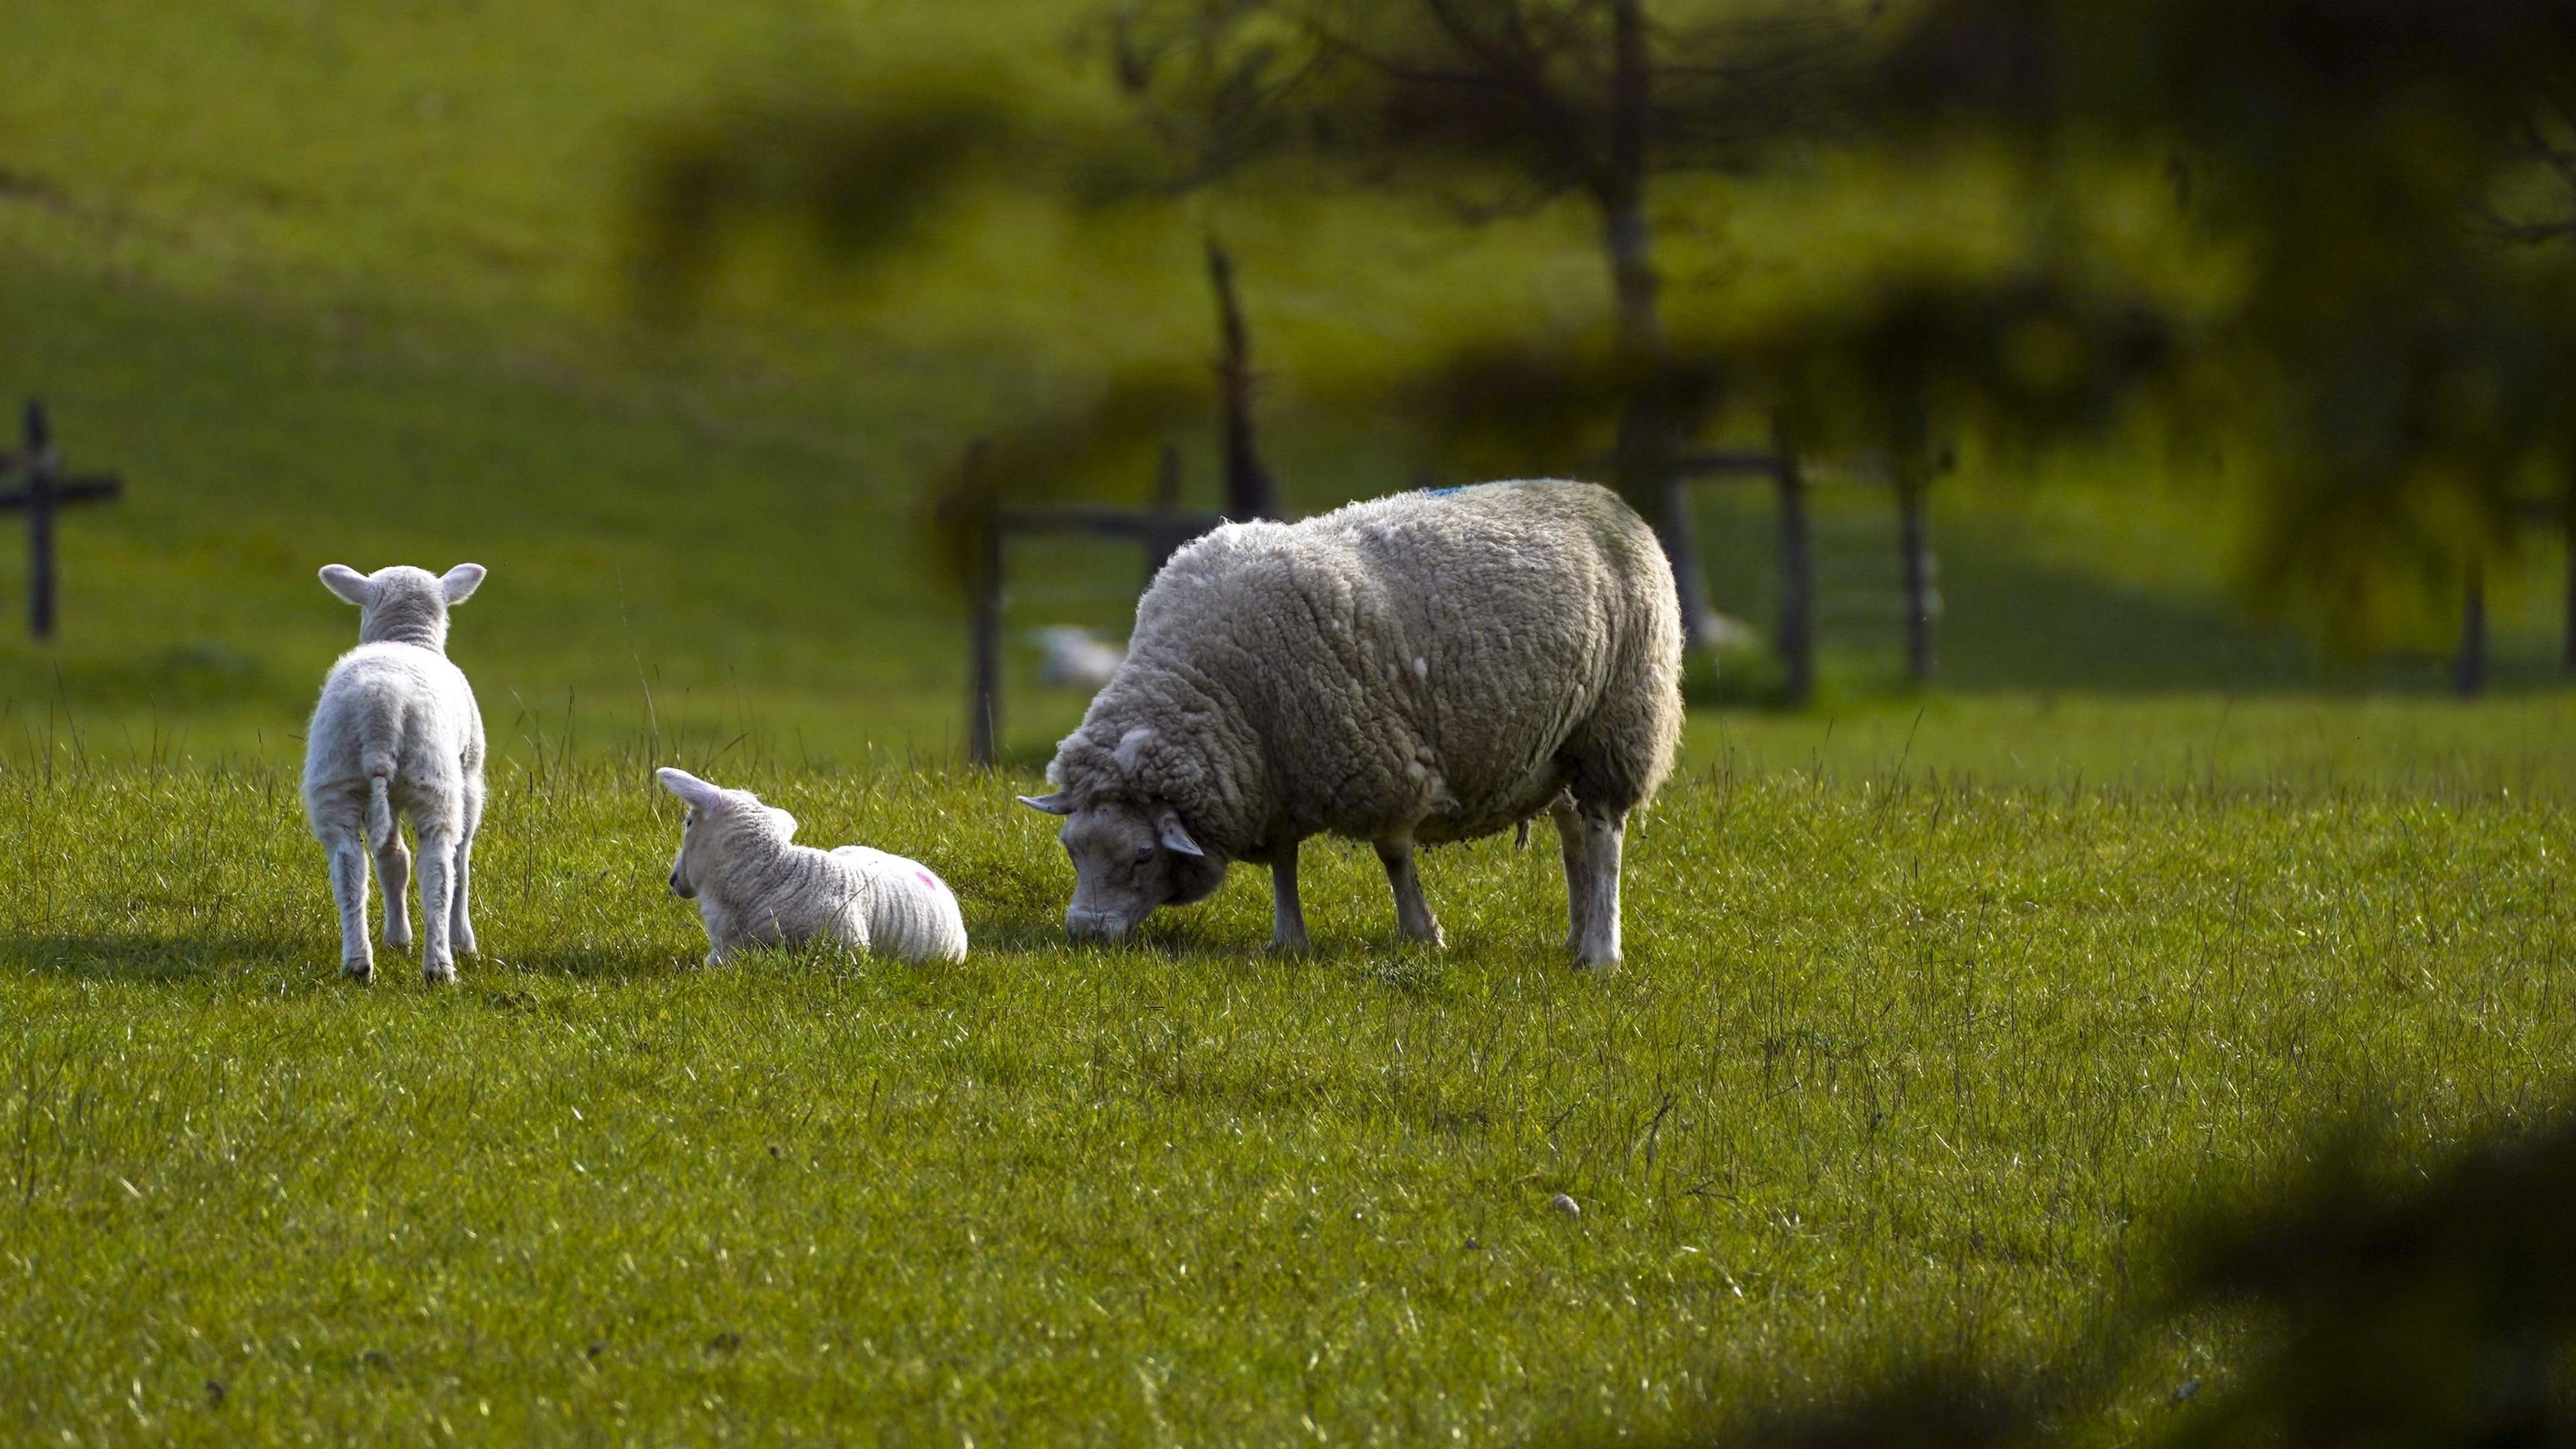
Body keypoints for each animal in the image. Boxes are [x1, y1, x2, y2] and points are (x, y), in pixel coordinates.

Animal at [304, 561, 489, 979]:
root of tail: (381, 709)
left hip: (334, 779)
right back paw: (440, 965)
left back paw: (358, 963)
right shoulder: (470, 777)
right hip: (434, 778)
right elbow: (460, 862)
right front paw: (464, 941)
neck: (407, 638)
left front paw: (397, 938)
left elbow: (392, 860)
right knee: (440, 867)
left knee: (350, 866)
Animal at [1014, 479, 1679, 964]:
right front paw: (1289, 940)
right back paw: (1576, 935)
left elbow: (1393, 856)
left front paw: (1422, 934)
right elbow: (1283, 860)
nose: (1084, 933)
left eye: (1143, 856)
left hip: (1621, 720)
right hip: (1561, 747)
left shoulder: (1380, 759)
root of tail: (1602, 496)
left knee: (1605, 836)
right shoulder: (1274, 773)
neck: (1209, 680)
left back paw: (1601, 953)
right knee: (1575, 836)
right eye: (1071, 849)